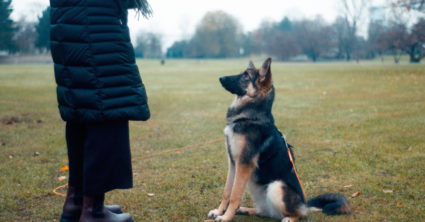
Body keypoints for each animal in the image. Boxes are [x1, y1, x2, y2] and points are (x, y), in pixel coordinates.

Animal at [207, 58, 350, 221]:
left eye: (246, 76)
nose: (220, 78)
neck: (250, 117)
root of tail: (305, 204)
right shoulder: (233, 163)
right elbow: (227, 192)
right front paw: (219, 211)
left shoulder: (243, 163)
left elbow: (234, 195)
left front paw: (225, 217)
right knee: (264, 212)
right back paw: (245, 210)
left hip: (276, 186)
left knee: (299, 214)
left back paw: (289, 218)